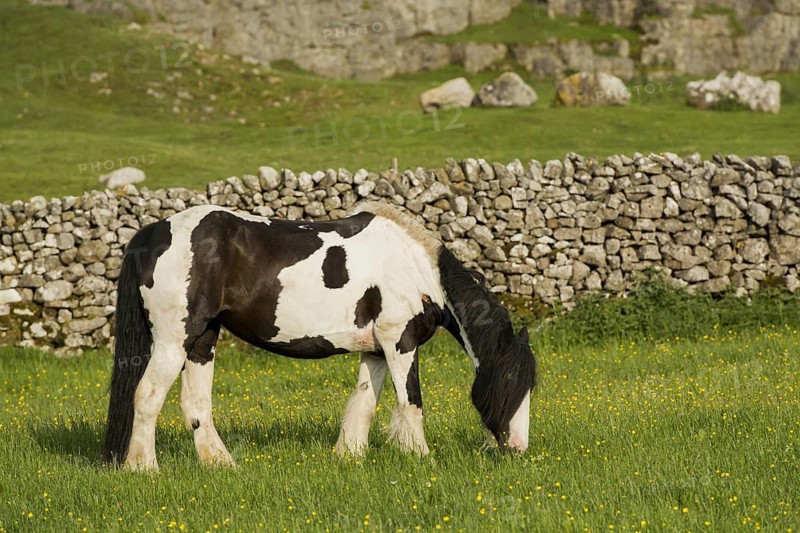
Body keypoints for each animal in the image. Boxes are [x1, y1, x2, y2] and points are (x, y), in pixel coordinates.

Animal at [103, 202, 537, 470]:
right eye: (512, 379)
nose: (519, 448)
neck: (417, 269)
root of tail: (153, 233)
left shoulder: (376, 351)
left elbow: (364, 404)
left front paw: (349, 456)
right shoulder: (400, 342)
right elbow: (410, 403)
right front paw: (422, 458)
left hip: (201, 341)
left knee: (195, 405)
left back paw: (220, 463)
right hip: (172, 342)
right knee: (147, 396)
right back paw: (143, 468)